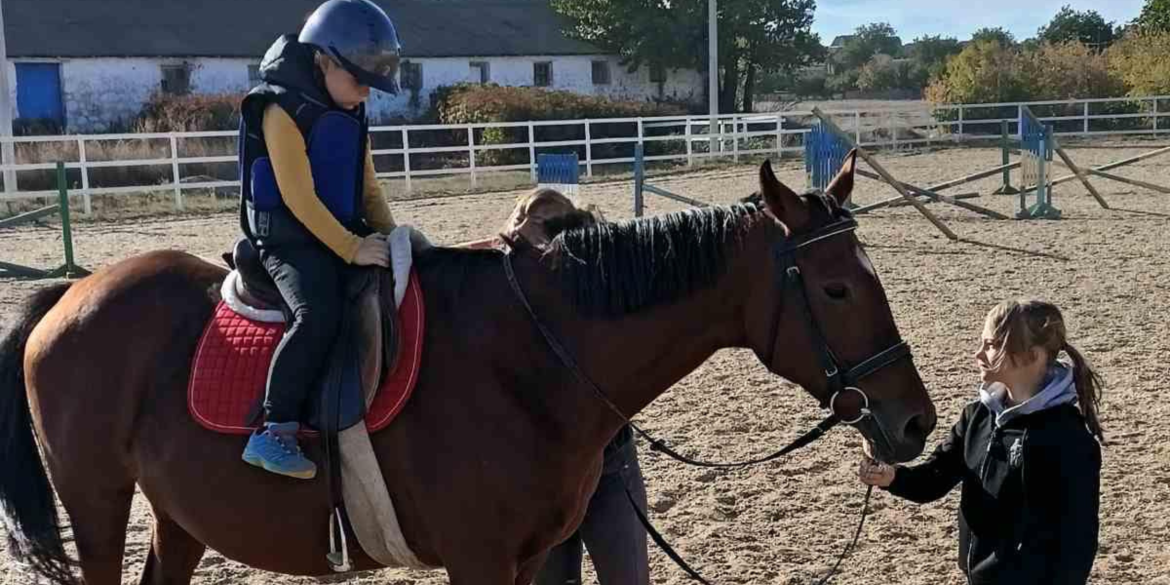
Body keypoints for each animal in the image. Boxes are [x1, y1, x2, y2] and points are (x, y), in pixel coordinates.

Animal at [0, 156, 931, 585]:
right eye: (836, 286)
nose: (915, 417)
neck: (530, 357)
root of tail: (71, 292)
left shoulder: (527, 556)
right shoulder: (479, 559)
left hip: (176, 512)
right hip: (98, 503)